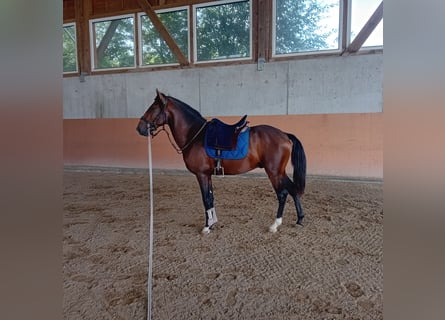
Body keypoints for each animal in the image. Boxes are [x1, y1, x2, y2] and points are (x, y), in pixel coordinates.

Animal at [136, 89, 306, 234]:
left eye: (153, 108)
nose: (139, 128)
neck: (195, 135)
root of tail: (284, 134)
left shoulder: (201, 174)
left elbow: (206, 199)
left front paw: (206, 227)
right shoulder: (208, 175)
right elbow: (211, 198)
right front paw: (212, 223)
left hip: (274, 172)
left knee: (283, 194)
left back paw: (275, 225)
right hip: (279, 172)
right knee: (293, 189)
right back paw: (299, 219)